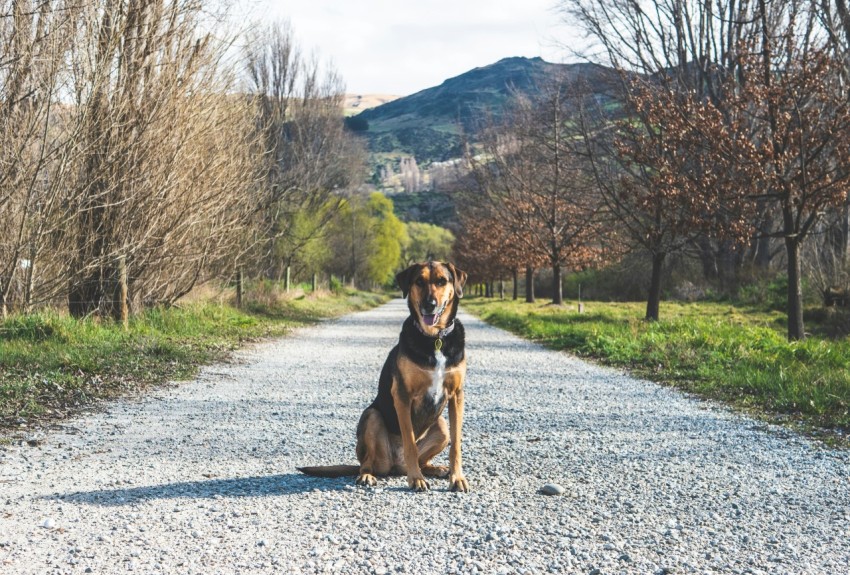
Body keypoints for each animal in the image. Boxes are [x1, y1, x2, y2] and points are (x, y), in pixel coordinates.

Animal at [298, 264, 470, 492]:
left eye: (442, 281)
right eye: (419, 281)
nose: (429, 305)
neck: (434, 339)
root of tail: (395, 465)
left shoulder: (457, 396)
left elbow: (456, 446)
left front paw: (457, 478)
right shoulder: (403, 395)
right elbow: (410, 443)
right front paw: (416, 479)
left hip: (441, 426)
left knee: (423, 458)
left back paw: (436, 469)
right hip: (372, 417)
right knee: (367, 463)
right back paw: (369, 476)